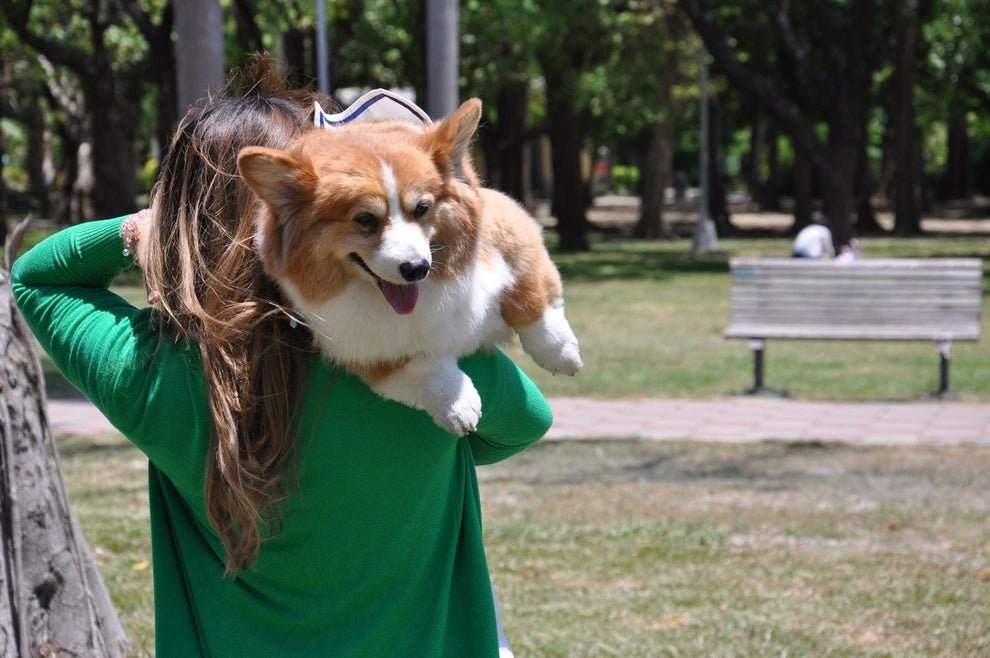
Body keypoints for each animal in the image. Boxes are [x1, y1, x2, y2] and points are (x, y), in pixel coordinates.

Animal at [238, 97, 580, 434]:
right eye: (365, 219)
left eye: (422, 208)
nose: (417, 269)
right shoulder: (371, 353)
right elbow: (422, 366)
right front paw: (457, 404)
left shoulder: (510, 225)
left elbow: (531, 295)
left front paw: (561, 352)